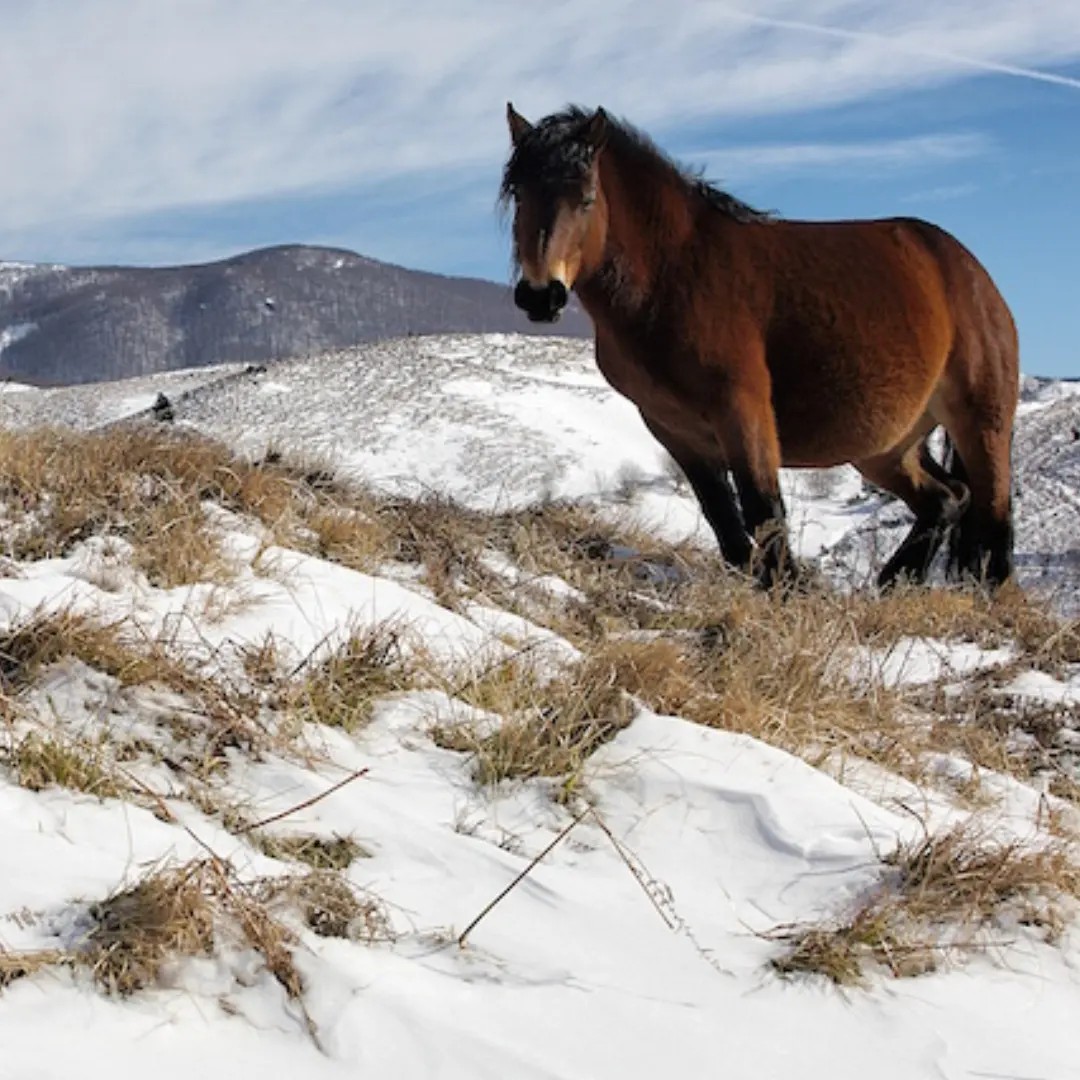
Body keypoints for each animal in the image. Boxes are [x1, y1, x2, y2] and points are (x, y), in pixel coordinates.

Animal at [501, 104, 1019, 591]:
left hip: (981, 424)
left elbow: (764, 511)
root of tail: (970, 272)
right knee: (947, 499)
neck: (673, 274)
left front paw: (789, 596)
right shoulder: (674, 429)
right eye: (521, 194)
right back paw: (891, 584)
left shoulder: (743, 409)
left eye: (586, 198)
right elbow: (726, 524)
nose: (541, 295)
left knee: (994, 525)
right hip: (889, 445)